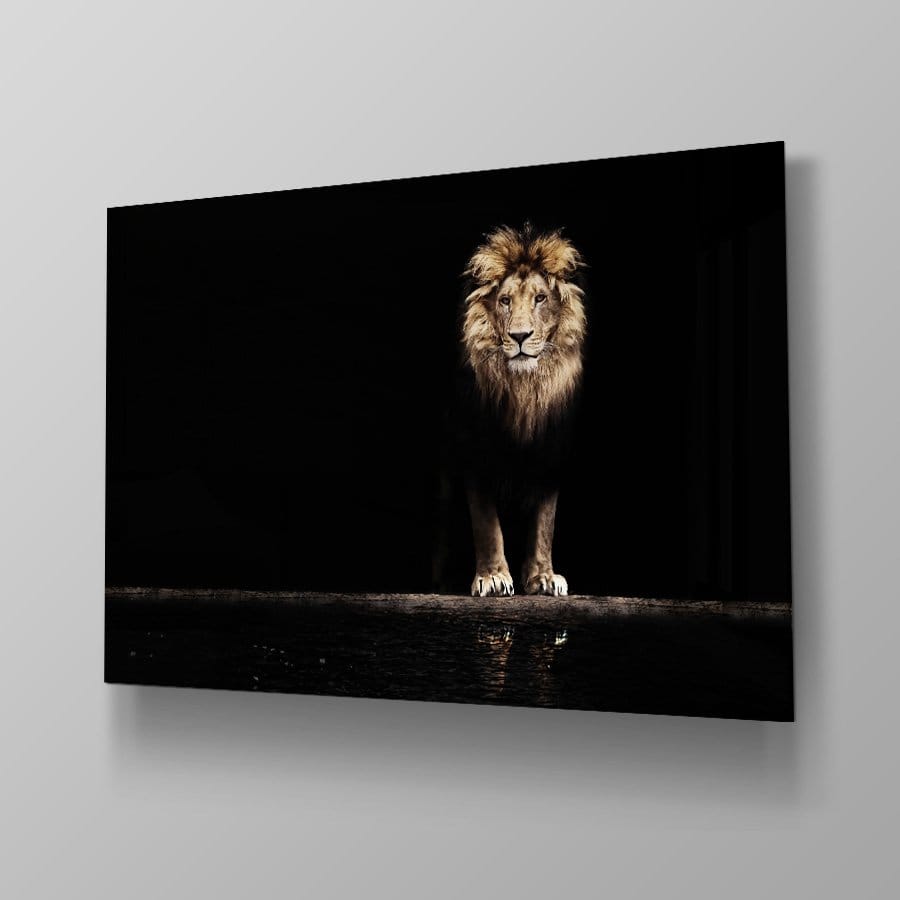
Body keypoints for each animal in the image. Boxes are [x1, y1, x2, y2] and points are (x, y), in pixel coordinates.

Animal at [457, 223, 587, 597]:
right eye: (505, 301)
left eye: (540, 298)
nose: (519, 336)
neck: (523, 390)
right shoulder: (473, 447)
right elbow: (486, 521)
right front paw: (492, 577)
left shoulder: (552, 450)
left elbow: (545, 522)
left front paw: (543, 577)